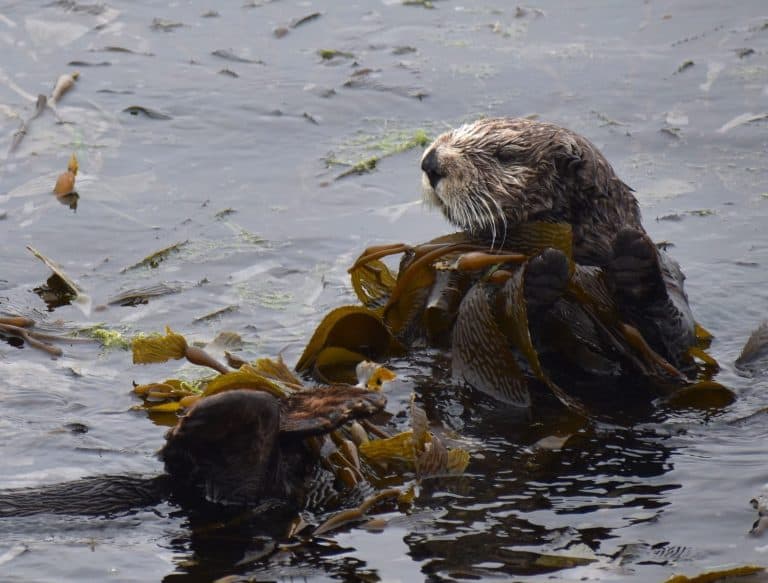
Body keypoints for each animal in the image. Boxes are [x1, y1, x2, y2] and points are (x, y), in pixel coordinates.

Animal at [420, 117, 696, 369]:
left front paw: (635, 260)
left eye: (504, 155)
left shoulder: (668, 272)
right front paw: (543, 273)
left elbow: (676, 342)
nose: (430, 162)